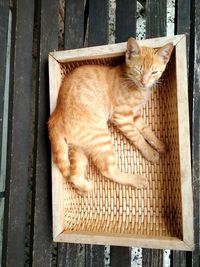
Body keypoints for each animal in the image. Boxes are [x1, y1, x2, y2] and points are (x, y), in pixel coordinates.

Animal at [48, 37, 173, 193]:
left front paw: (159, 145)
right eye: (138, 70)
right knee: (107, 170)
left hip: (77, 149)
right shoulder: (122, 117)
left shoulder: (135, 115)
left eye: (154, 72)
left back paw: (85, 188)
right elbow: (138, 137)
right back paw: (136, 180)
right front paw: (150, 153)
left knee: (74, 175)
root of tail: (56, 114)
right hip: (100, 137)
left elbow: (146, 130)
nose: (144, 82)